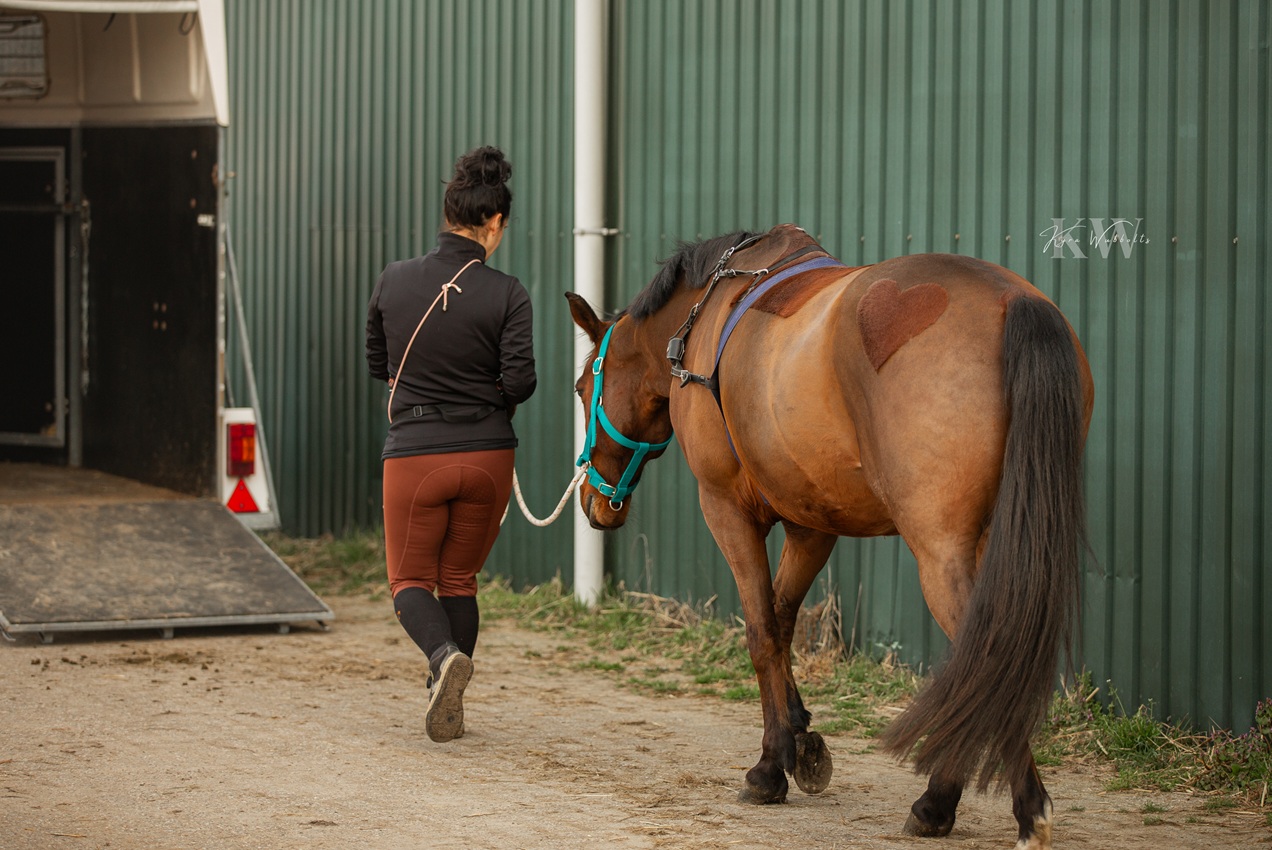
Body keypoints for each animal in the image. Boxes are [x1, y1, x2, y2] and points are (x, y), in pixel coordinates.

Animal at [566, 224, 1093, 849]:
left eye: (582, 388)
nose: (592, 501)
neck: (699, 325)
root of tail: (1014, 301)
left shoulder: (726, 511)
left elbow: (761, 632)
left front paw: (770, 766)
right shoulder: (811, 525)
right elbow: (782, 622)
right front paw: (802, 742)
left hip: (941, 554)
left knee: (989, 656)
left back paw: (1010, 809)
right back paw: (938, 802)